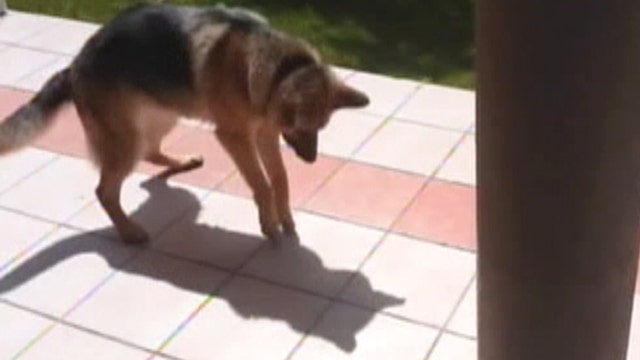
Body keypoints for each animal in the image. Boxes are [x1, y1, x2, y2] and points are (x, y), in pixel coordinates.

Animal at [0, 2, 370, 245]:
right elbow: (263, 185)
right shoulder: (236, 137)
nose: (311, 160)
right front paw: (270, 226)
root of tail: (75, 64)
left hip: (165, 117)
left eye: (319, 129)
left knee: (151, 153)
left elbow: (280, 180)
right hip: (126, 141)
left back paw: (180, 163)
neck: (282, 67)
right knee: (105, 191)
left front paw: (285, 218)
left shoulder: (265, 131)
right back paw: (129, 231)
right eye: (305, 128)